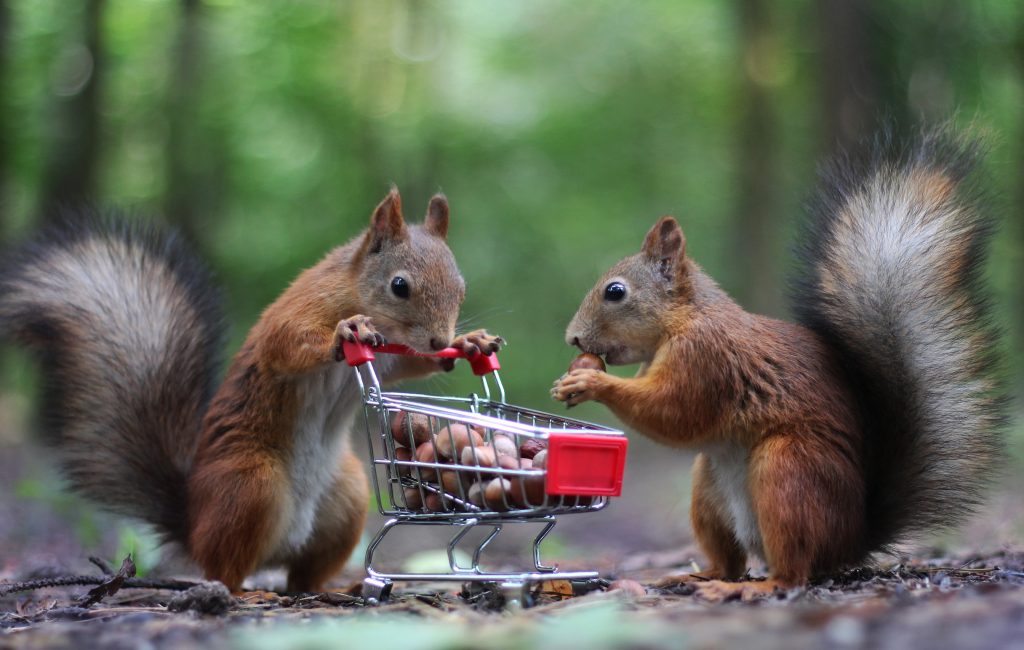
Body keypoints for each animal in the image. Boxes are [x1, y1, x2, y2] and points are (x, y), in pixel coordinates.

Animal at [0, 188, 502, 593]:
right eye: (399, 285)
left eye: (461, 287)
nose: (440, 339)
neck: (358, 295)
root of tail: (192, 522)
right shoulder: (298, 310)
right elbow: (286, 345)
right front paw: (347, 331)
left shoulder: (393, 357)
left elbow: (411, 364)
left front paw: (469, 343)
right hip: (249, 483)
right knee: (224, 570)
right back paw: (243, 594)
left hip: (347, 496)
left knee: (301, 578)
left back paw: (332, 588)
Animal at [552, 130, 1006, 600]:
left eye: (615, 291)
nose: (573, 338)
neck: (684, 320)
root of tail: (851, 541)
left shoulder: (706, 358)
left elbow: (676, 412)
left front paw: (591, 381)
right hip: (708, 490)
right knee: (731, 561)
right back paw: (698, 576)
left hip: (789, 473)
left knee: (794, 570)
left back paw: (754, 587)